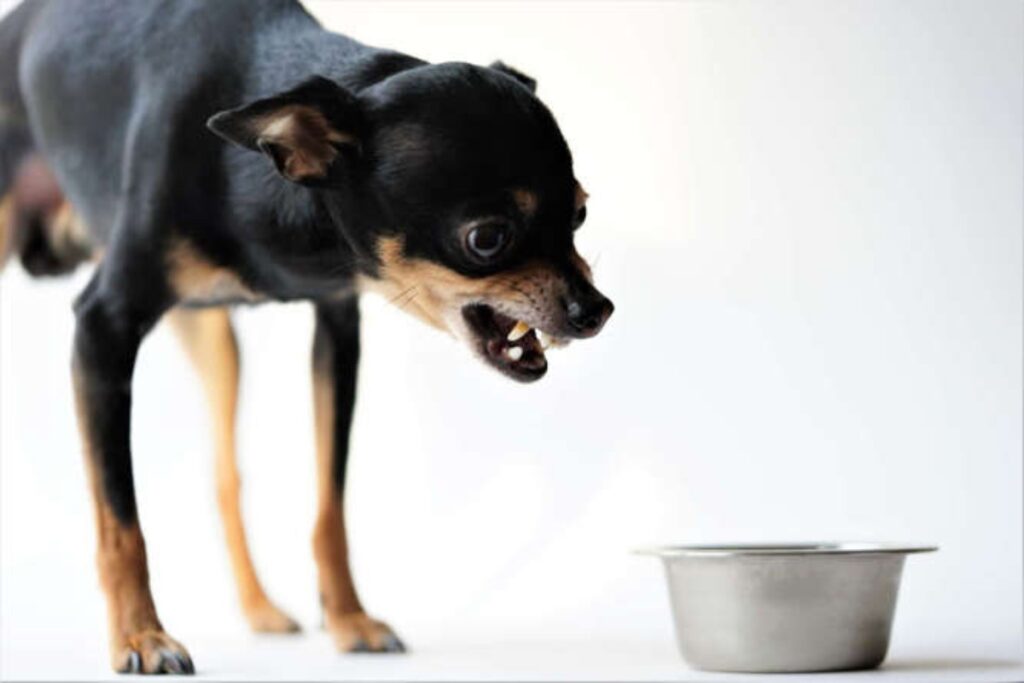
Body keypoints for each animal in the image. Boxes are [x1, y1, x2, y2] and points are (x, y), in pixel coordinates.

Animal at [0, 0, 610, 671]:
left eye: (580, 213)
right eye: (487, 239)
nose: (597, 309)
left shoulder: (338, 328)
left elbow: (329, 504)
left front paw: (348, 620)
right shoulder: (103, 328)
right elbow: (118, 518)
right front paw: (140, 637)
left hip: (214, 341)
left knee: (225, 475)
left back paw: (260, 608)